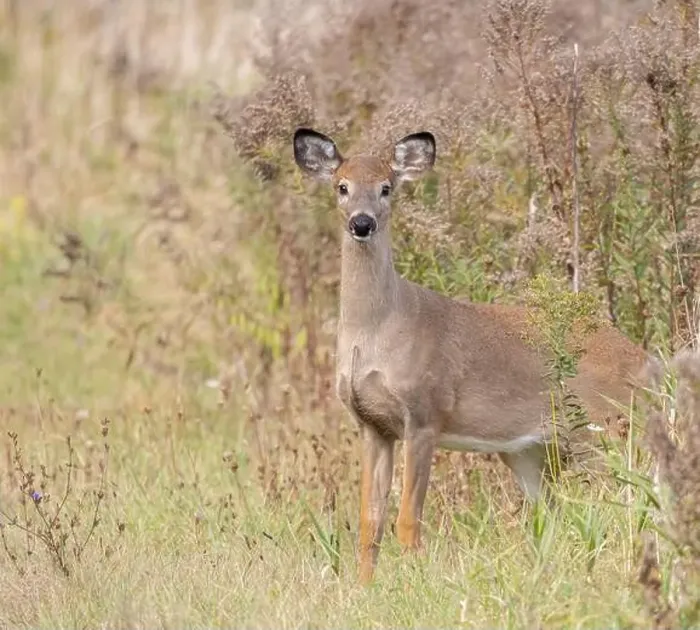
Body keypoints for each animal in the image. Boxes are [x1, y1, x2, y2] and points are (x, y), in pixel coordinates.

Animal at [292, 127, 650, 584]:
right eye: (342, 186)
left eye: (387, 187)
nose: (362, 223)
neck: (374, 334)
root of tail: (645, 361)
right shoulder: (373, 425)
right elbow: (370, 523)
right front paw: (363, 589)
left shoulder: (424, 414)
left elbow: (408, 521)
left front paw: (418, 585)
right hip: (530, 452)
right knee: (555, 515)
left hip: (608, 427)